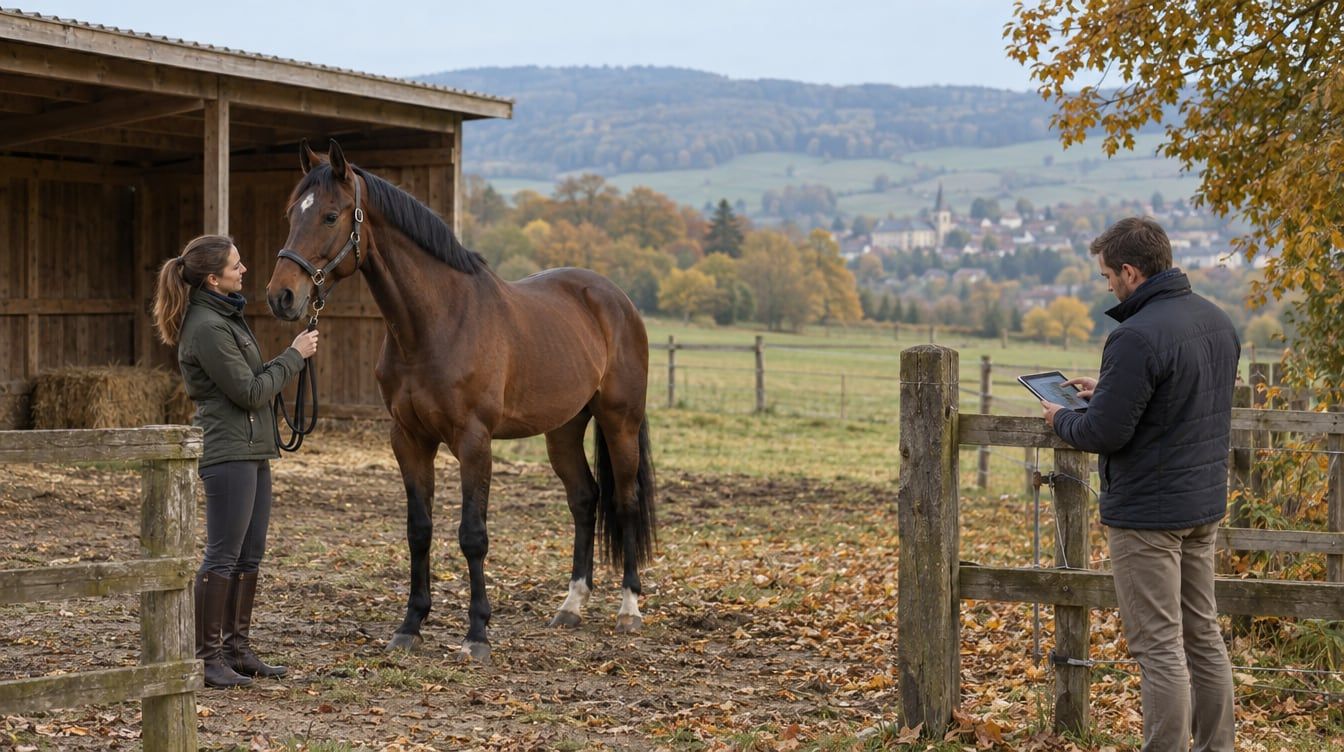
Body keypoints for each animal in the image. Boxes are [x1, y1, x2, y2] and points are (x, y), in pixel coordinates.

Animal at [265, 139, 657, 662]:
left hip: (619, 421)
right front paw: (410, 625)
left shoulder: (474, 442)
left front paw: (477, 634)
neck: (436, 322)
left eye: (330, 216)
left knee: (626, 501)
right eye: (292, 213)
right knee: (584, 499)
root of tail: (617, 300)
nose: (282, 296)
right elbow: (419, 529)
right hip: (564, 429)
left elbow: (473, 535)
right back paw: (571, 606)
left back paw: (629, 609)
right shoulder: (408, 439)